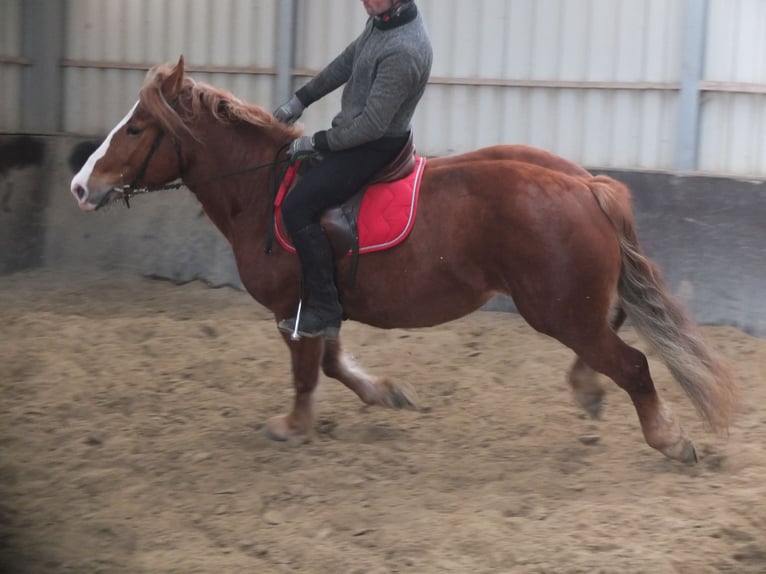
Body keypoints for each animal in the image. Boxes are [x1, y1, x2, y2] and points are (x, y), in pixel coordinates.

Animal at [70, 57, 736, 464]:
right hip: (573, 304)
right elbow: (332, 362)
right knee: (614, 330)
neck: (262, 190)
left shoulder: (294, 305)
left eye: (137, 129)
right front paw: (386, 393)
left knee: (633, 363)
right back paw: (588, 388)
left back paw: (666, 437)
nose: (79, 185)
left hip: (557, 309)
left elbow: (308, 371)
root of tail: (583, 183)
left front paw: (294, 426)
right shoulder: (320, 305)